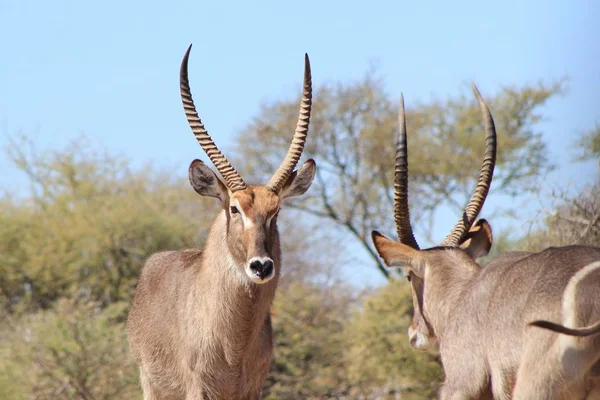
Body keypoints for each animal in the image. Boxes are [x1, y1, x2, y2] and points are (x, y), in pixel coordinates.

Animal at [125, 45, 316, 398]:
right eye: (234, 208)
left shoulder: (253, 389)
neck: (234, 343)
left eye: (276, 211)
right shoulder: (198, 388)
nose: (261, 266)